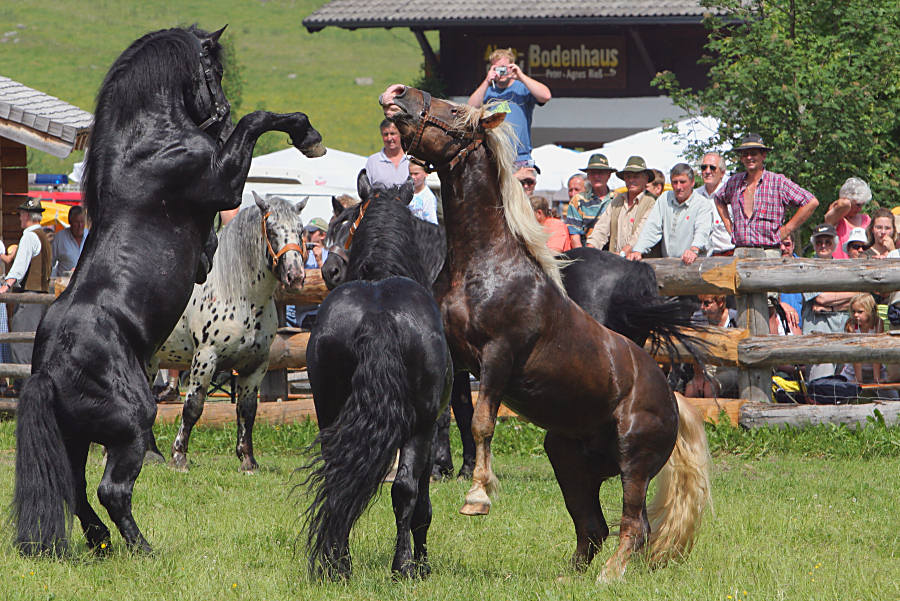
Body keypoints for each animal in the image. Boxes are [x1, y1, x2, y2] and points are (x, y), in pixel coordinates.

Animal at [151, 195, 310, 472]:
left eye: (300, 231)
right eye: (271, 231)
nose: (296, 275)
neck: (237, 294)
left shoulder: (256, 366)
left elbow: (247, 410)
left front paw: (248, 460)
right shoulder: (205, 359)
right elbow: (193, 407)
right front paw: (179, 457)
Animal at [304, 172, 458, 576]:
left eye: (345, 227)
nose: (329, 270)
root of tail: (378, 316)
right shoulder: (429, 426)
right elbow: (420, 500)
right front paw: (420, 560)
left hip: (329, 411)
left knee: (338, 480)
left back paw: (338, 562)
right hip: (419, 425)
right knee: (405, 488)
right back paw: (403, 565)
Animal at [378, 86, 712, 580]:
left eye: (455, 110)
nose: (397, 95)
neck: (484, 266)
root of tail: (674, 399)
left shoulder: (498, 355)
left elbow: (482, 422)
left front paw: (478, 496)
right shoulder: (456, 360)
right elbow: (449, 416)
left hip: (634, 460)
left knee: (634, 524)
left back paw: (609, 575)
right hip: (567, 458)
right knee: (594, 524)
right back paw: (572, 574)